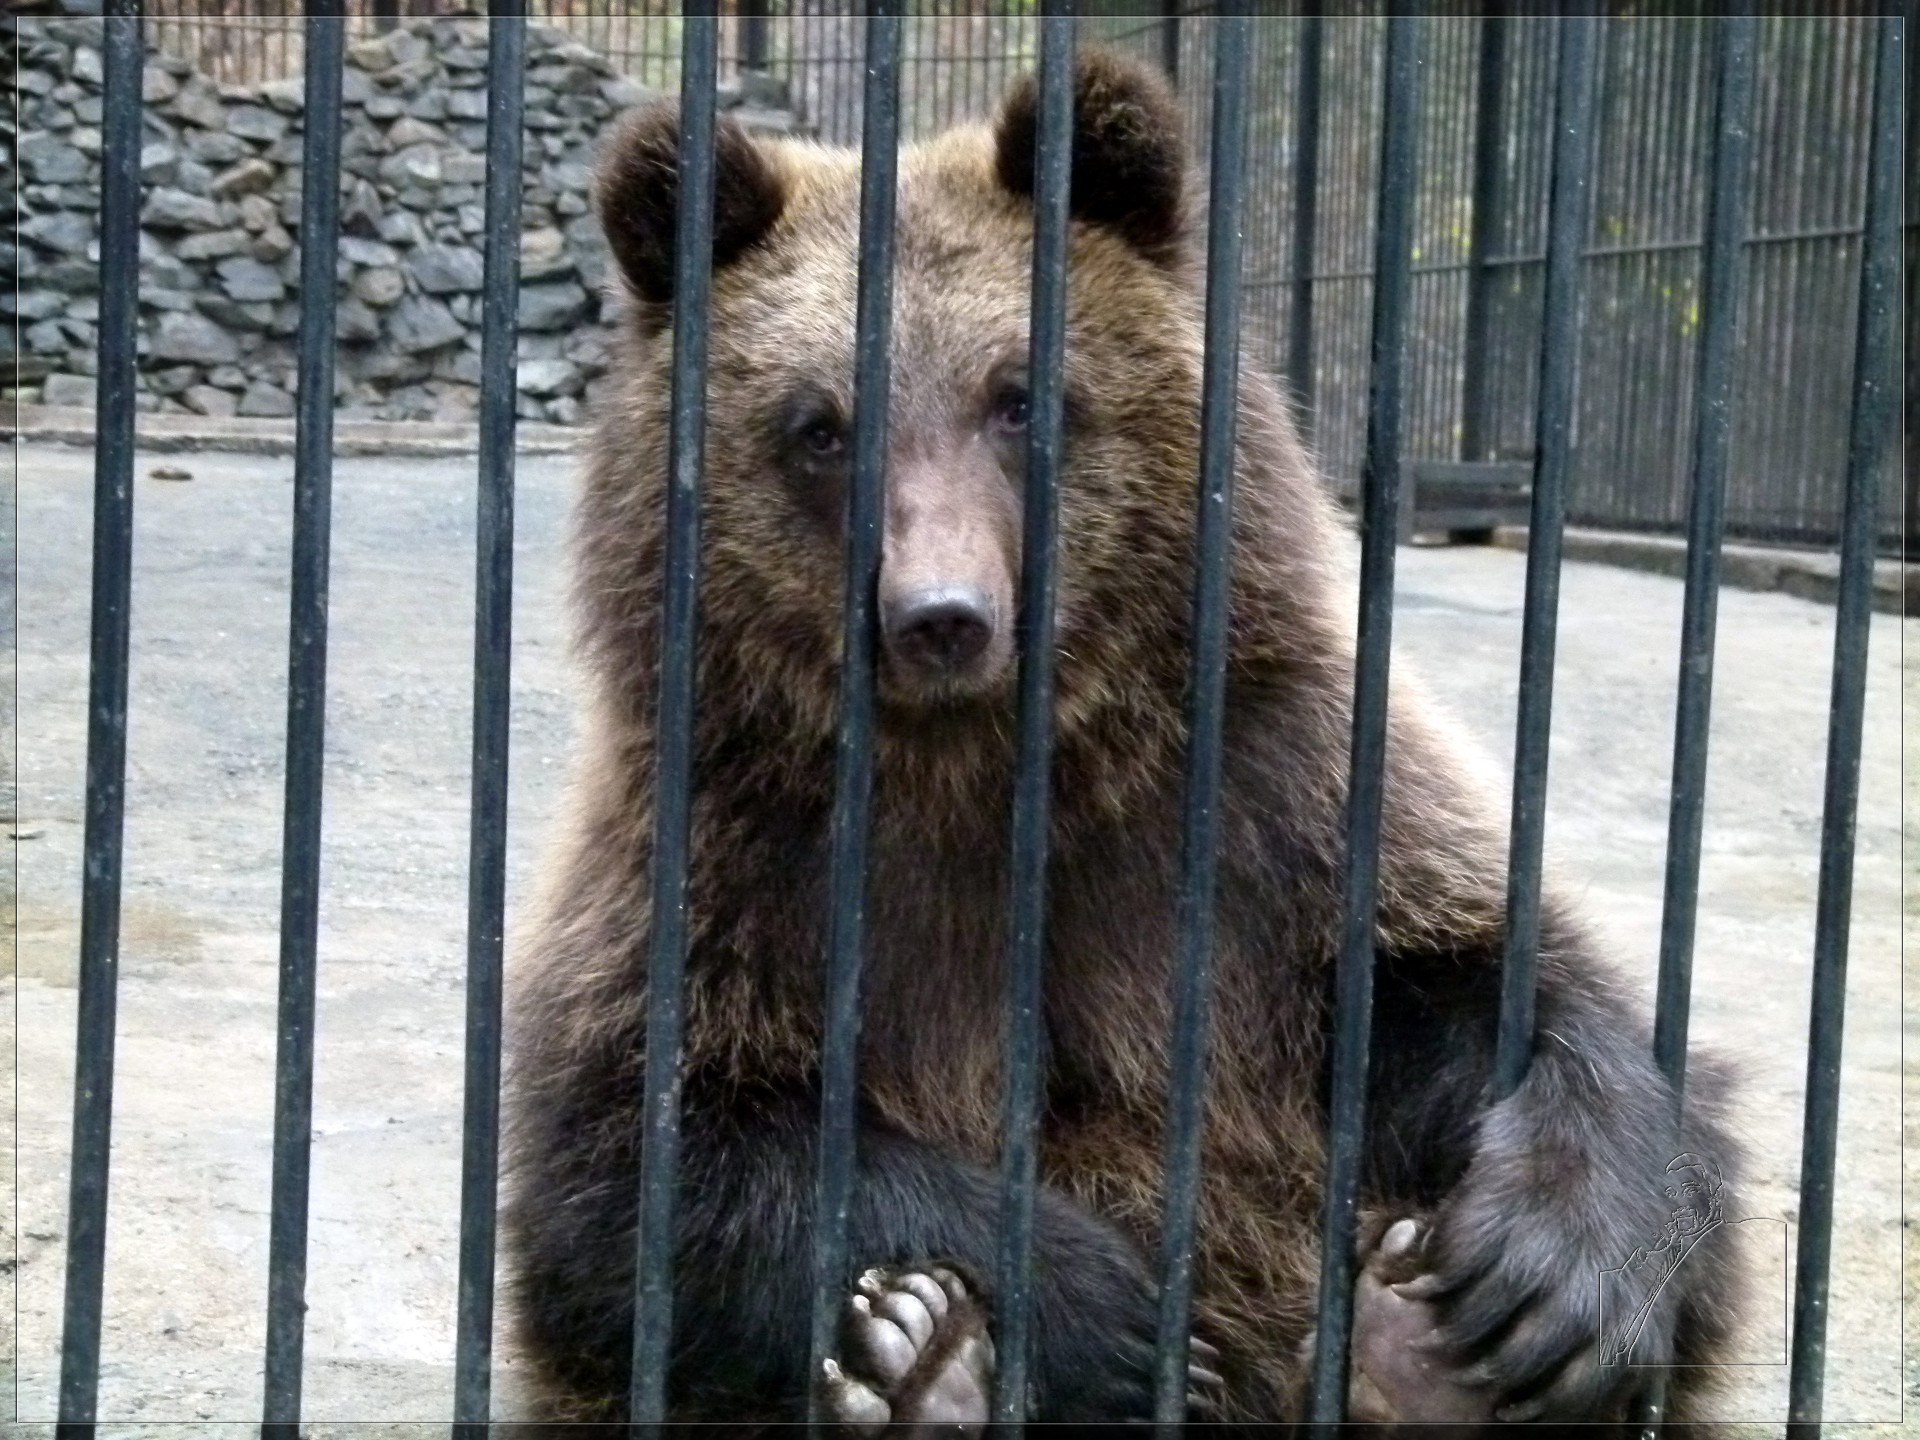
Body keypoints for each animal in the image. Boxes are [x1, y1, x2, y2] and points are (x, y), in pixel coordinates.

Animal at [503, 45, 1751, 1436]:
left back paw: (1416, 1354)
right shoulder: (730, 854)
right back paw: (922, 1362)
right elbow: (639, 1162)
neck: (991, 763)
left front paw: (1544, 1270)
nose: (942, 616)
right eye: (819, 426)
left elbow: (1482, 983)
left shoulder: (1276, 797)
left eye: (1020, 399)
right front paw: (1096, 1313)